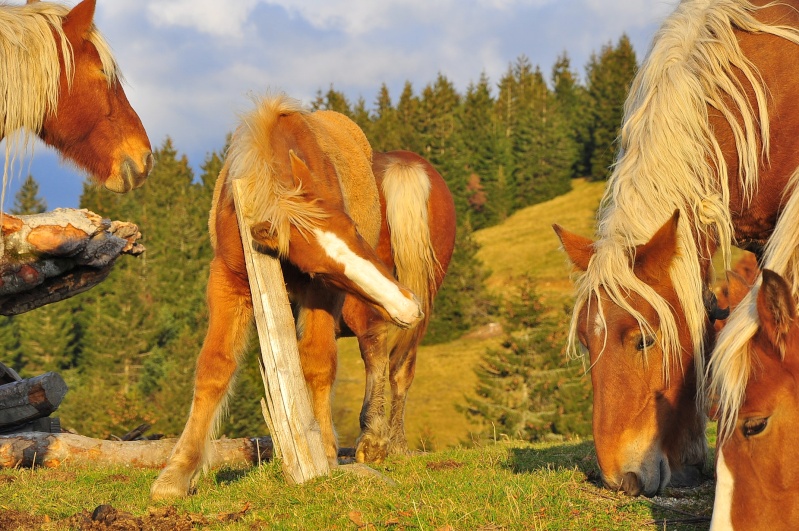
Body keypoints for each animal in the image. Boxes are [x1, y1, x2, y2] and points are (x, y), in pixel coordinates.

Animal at [150, 94, 456, 498]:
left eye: (355, 228)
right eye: (319, 266)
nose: (406, 304)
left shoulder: (323, 297)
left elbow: (318, 363)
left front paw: (324, 451)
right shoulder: (229, 282)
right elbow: (215, 367)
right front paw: (178, 472)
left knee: (387, 359)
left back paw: (380, 440)